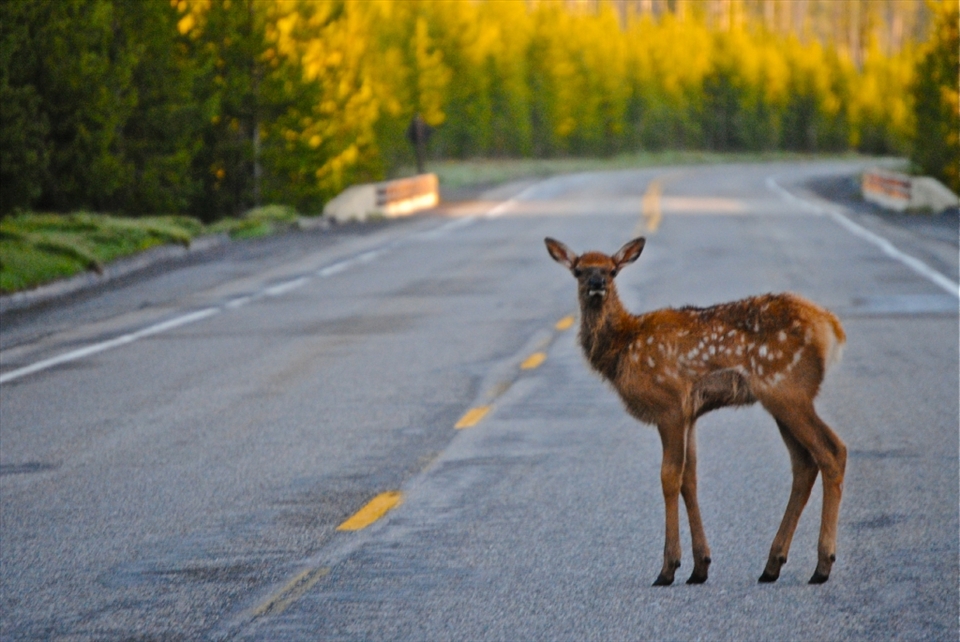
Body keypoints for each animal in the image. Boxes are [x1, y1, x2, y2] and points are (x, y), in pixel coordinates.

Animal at [545, 236, 847, 586]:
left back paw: (822, 565)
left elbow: (669, 477)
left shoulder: (669, 405)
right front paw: (700, 566)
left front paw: (668, 568)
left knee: (832, 451)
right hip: (781, 399)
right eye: (579, 270)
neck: (623, 349)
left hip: (788, 390)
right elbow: (689, 479)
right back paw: (773, 564)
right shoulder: (690, 414)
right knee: (804, 463)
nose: (597, 284)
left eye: (612, 270)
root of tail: (831, 326)